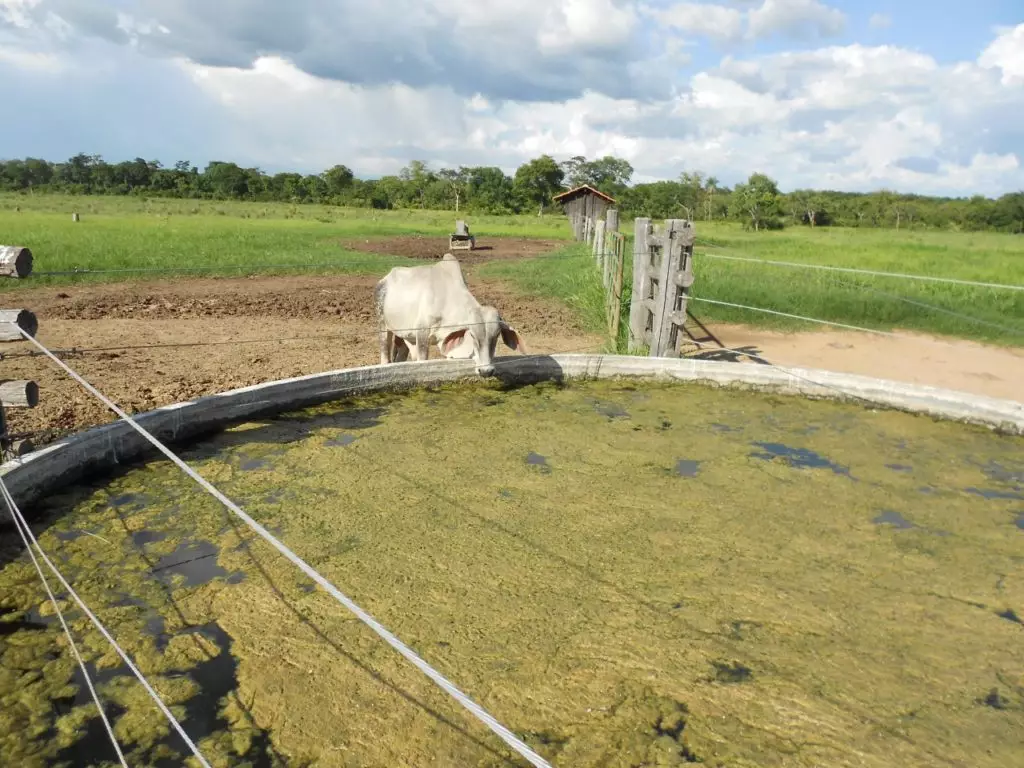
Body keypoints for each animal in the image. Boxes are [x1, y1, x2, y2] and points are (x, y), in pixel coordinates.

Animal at [374, 256, 528, 376]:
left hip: (404, 335)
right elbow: (423, 360)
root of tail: (386, 278)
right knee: (385, 353)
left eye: (496, 336)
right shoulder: (422, 334)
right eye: (472, 335)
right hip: (383, 326)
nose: (486, 371)